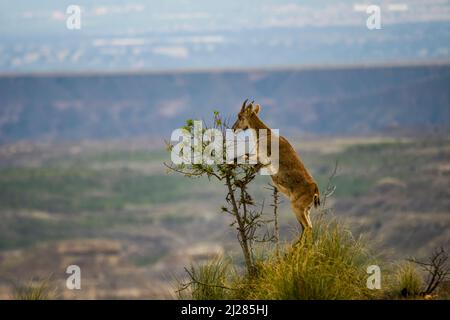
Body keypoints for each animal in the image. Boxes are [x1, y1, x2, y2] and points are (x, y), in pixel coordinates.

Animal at [232, 100, 320, 240]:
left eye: (240, 116)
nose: (234, 128)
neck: (265, 134)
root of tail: (315, 189)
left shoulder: (262, 159)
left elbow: (247, 160)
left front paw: (238, 181)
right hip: (307, 210)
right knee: (307, 227)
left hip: (297, 207)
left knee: (307, 227)